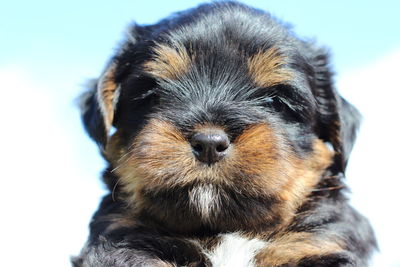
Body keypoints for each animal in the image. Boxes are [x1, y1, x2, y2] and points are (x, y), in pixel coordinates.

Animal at [73, 1, 376, 266]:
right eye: (153, 95)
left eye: (277, 102)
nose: (209, 143)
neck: (224, 232)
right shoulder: (125, 238)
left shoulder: (318, 243)